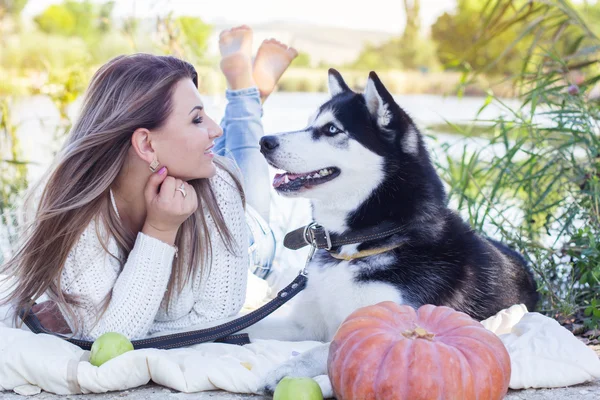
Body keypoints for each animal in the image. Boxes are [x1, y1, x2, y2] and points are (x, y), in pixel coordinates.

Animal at [248, 69, 540, 394]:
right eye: (310, 123)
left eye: (332, 129)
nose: (264, 141)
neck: (363, 240)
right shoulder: (306, 324)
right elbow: (247, 327)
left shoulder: (385, 319)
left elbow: (327, 347)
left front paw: (285, 370)